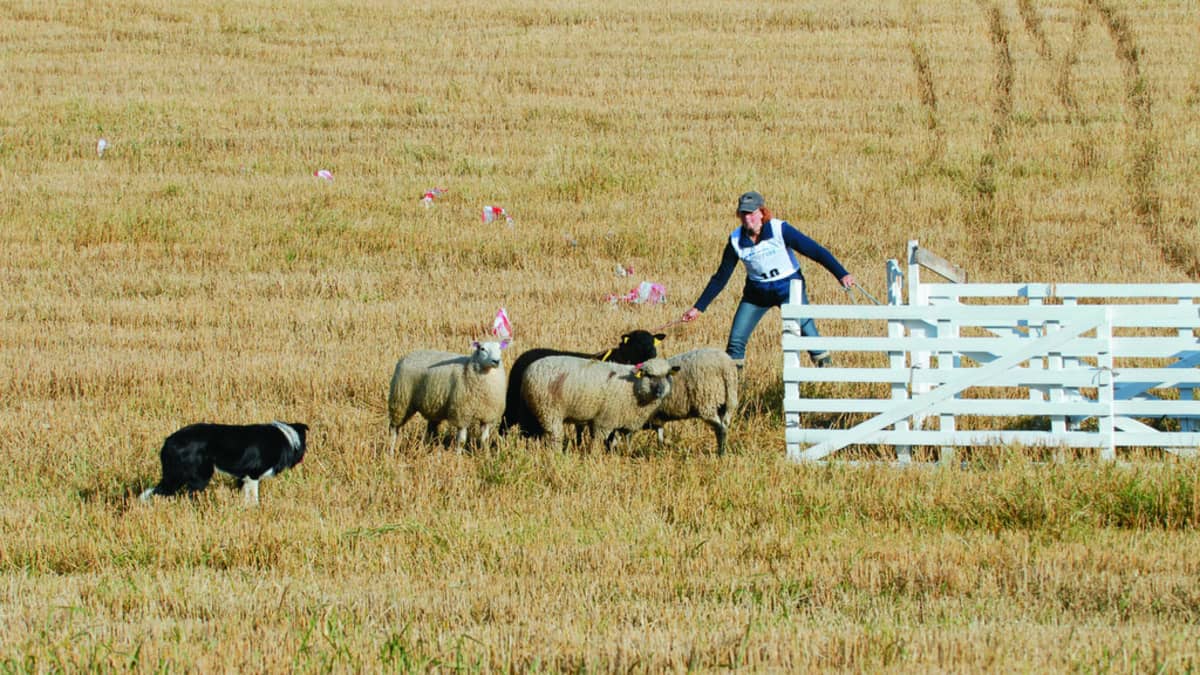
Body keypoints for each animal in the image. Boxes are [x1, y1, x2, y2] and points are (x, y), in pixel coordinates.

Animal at [139, 417, 309, 502]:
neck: (287, 439)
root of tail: (168, 441)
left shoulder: (243, 477)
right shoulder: (253, 474)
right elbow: (253, 497)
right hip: (197, 476)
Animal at [499, 329, 667, 437]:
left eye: (653, 341)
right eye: (637, 342)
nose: (653, 354)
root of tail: (521, 358)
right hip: (518, 400)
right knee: (507, 422)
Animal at [520, 353, 681, 451]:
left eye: (667, 375)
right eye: (649, 375)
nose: (660, 391)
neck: (634, 386)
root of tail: (529, 371)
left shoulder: (625, 423)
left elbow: (624, 442)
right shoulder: (605, 420)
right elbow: (597, 442)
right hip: (549, 410)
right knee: (555, 436)